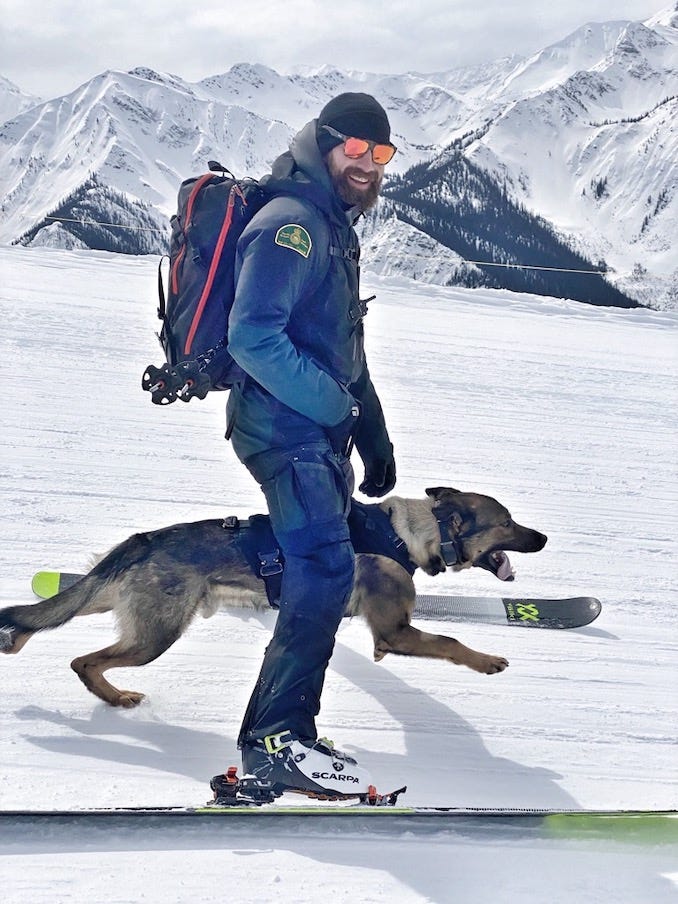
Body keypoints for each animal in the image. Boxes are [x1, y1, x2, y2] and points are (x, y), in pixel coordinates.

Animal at [1, 487, 546, 707]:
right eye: (507, 524)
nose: (543, 537)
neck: (409, 534)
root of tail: (148, 539)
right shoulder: (394, 632)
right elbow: (451, 641)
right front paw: (487, 661)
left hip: (114, 600)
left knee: (51, 613)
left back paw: (17, 637)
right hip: (155, 636)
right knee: (83, 660)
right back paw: (116, 698)